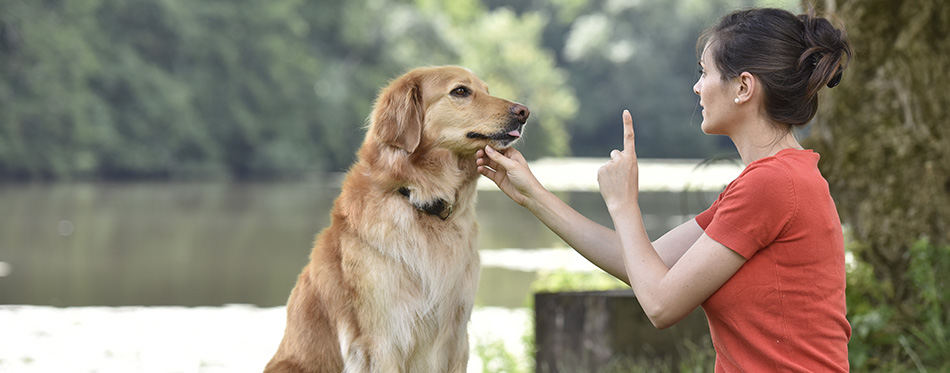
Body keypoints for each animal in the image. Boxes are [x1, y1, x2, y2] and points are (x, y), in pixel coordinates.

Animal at [266, 65, 528, 370]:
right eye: (461, 91)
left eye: (487, 90)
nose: (524, 112)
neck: (419, 198)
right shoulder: (383, 341)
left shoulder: (456, 338)